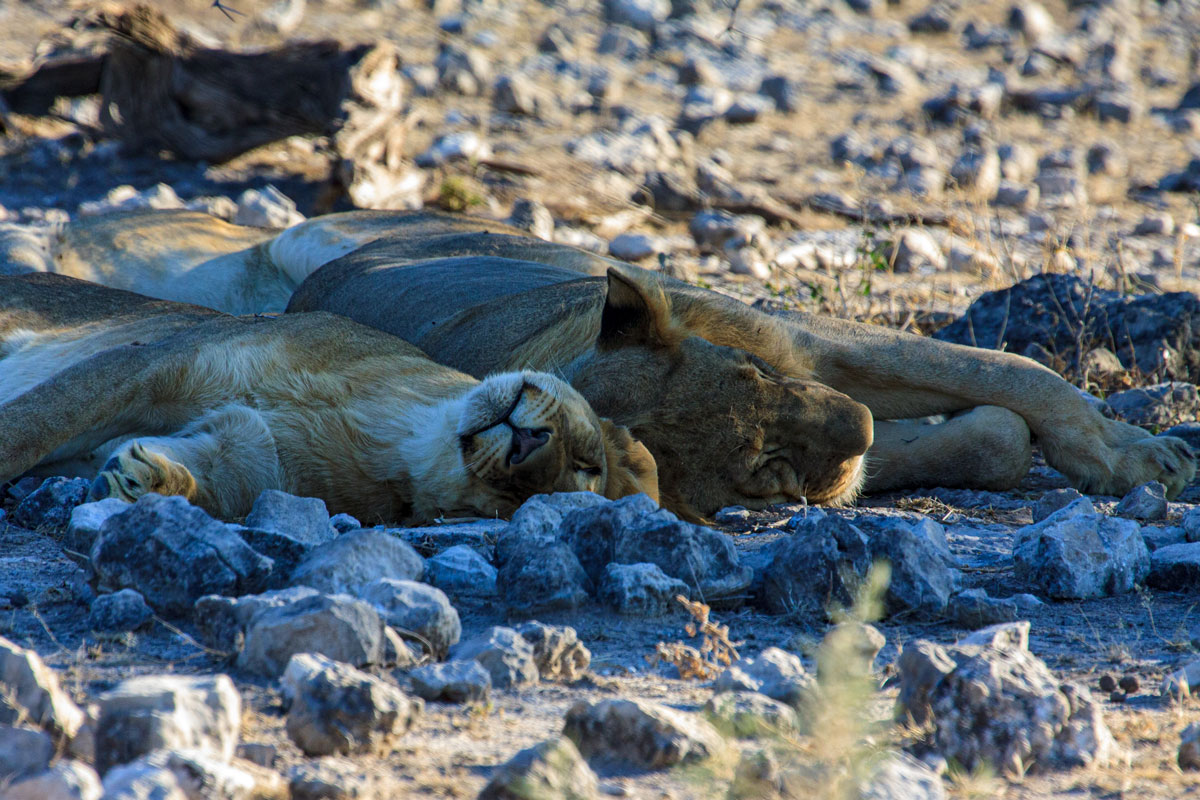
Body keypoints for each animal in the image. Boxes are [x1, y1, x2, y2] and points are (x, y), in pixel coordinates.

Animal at [0, 273, 657, 525]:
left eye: (515, 498)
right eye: (587, 461)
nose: (528, 446)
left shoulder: (251, 453)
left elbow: (208, 478)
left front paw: (145, 480)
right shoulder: (157, 363)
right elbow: (31, 426)